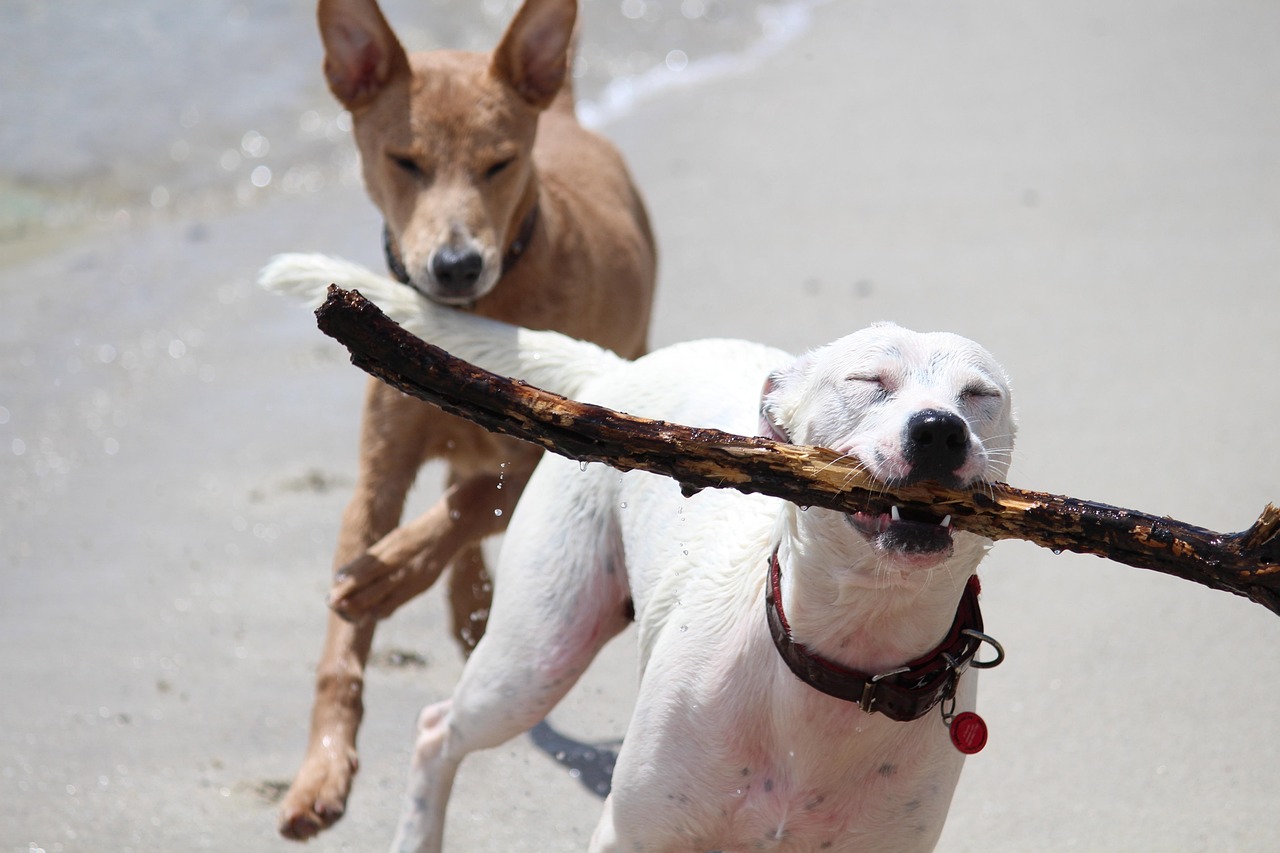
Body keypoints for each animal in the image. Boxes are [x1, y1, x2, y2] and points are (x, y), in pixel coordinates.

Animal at [259, 253, 1018, 850]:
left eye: (981, 395)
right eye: (867, 382)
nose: (939, 429)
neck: (851, 657)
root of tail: (617, 373)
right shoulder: (632, 832)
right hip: (535, 655)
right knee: (437, 729)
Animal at [281, 0, 660, 835]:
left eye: (498, 164)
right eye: (404, 161)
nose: (456, 266)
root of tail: (566, 112)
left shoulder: (555, 447)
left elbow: (465, 504)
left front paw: (386, 576)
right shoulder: (379, 471)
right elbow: (340, 646)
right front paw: (321, 770)